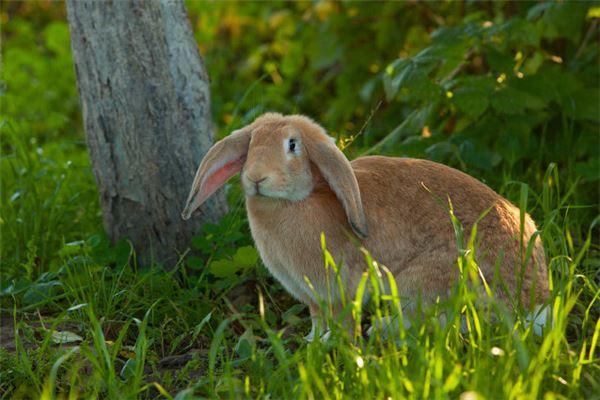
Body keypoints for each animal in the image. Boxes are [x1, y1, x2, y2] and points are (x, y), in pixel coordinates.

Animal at [180, 112, 552, 340]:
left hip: (422, 282)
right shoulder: (312, 296)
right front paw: (313, 341)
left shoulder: (336, 287)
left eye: (292, 145)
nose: (257, 178)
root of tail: (535, 300)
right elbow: (316, 316)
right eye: (251, 144)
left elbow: (340, 318)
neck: (297, 201)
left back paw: (384, 329)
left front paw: (329, 344)